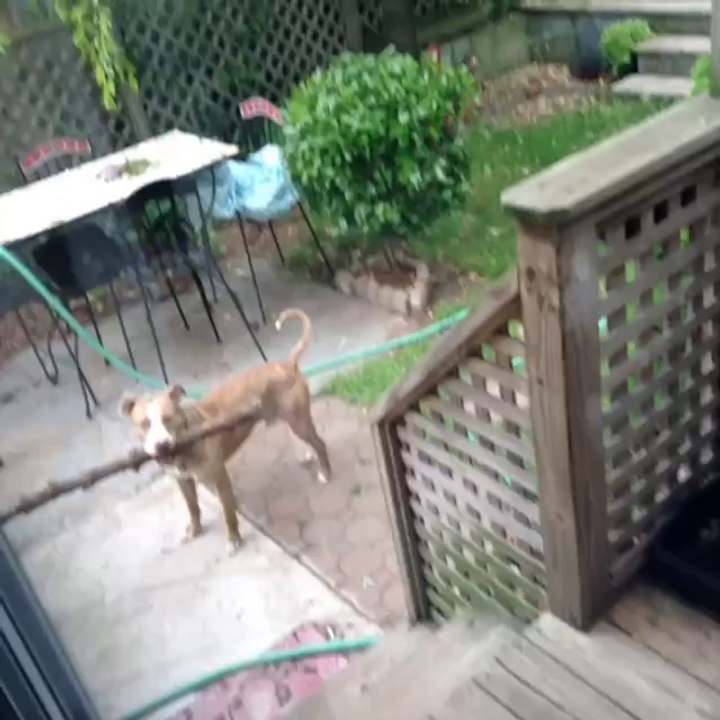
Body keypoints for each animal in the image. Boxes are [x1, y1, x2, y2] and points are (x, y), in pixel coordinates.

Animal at [119, 308, 332, 552]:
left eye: (168, 419)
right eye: (144, 424)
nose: (161, 445)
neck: (184, 446)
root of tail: (286, 365)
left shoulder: (220, 479)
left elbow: (229, 513)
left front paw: (234, 540)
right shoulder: (183, 482)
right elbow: (193, 508)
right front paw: (195, 530)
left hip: (299, 421)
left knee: (320, 443)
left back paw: (325, 472)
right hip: (288, 417)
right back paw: (305, 453)